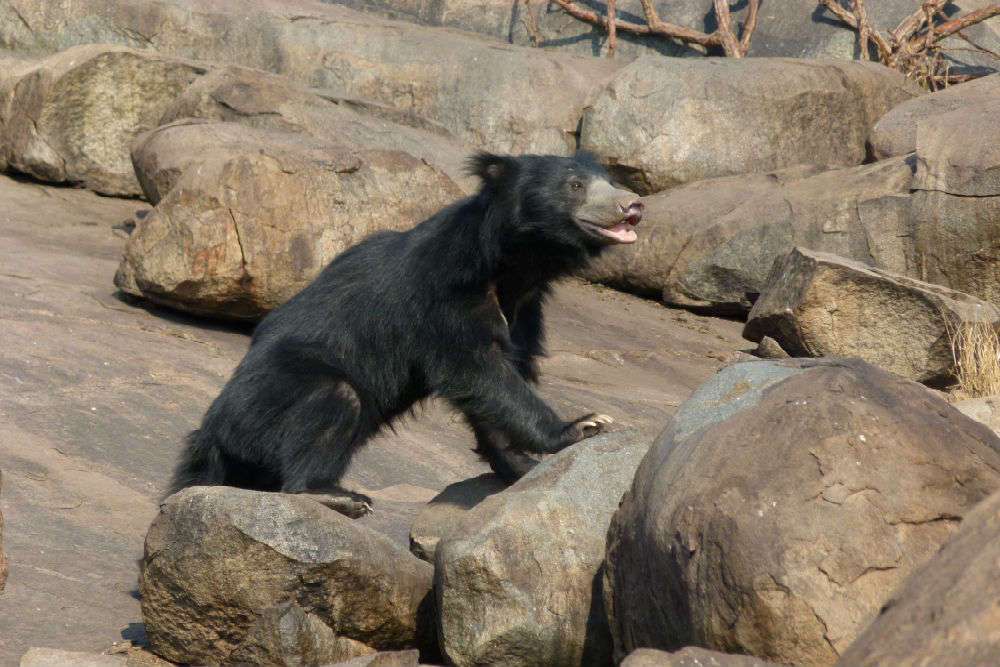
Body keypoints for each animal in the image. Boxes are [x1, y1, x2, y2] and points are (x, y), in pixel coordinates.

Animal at [168, 151, 643, 517]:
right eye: (576, 185)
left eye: (611, 181)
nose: (634, 205)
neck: (514, 266)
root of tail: (211, 435)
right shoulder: (445, 297)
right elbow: (478, 371)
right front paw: (583, 425)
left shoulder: (525, 309)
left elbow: (501, 379)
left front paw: (519, 464)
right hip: (271, 401)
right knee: (333, 401)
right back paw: (334, 495)